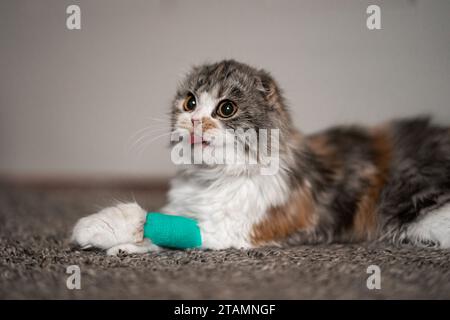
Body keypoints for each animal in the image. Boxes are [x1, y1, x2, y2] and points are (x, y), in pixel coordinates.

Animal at [71, 60, 450, 255]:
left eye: (226, 109)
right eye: (190, 103)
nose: (194, 121)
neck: (212, 178)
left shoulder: (237, 228)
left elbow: (156, 223)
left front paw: (96, 229)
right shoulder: (188, 206)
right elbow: (162, 225)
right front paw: (125, 247)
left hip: (423, 215)